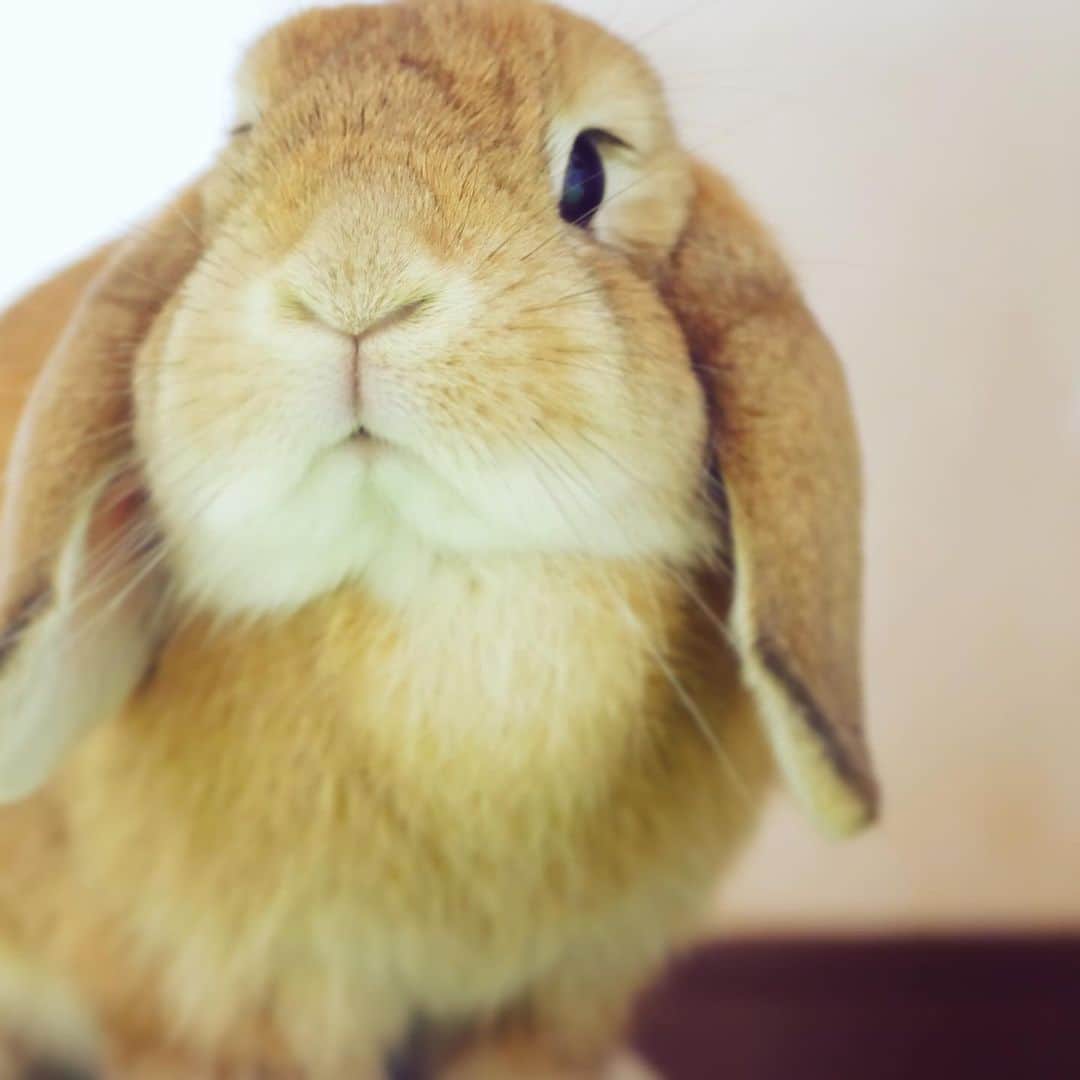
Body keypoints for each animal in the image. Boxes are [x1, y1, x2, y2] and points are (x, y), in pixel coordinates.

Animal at [0, 1, 877, 1077]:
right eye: (244, 143)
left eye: (588, 174)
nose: (354, 280)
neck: (441, 581)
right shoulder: (249, 999)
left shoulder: (559, 998)